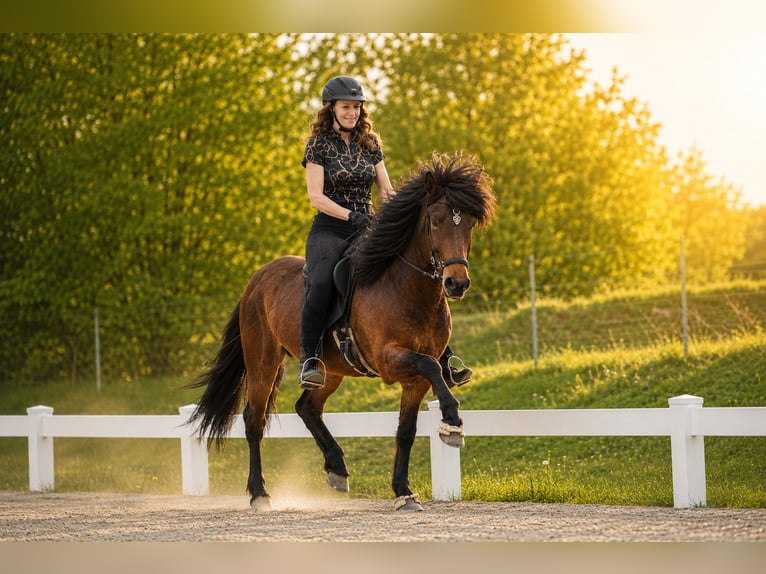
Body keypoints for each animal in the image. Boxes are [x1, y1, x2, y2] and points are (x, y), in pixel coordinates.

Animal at [188, 151, 496, 511]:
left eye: (469, 224)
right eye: (435, 220)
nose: (456, 283)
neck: (404, 287)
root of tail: (258, 278)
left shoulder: (413, 380)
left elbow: (406, 429)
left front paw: (403, 490)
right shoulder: (390, 362)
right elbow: (430, 366)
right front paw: (452, 422)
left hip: (330, 371)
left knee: (307, 408)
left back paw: (336, 467)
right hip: (262, 362)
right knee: (255, 421)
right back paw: (259, 493)